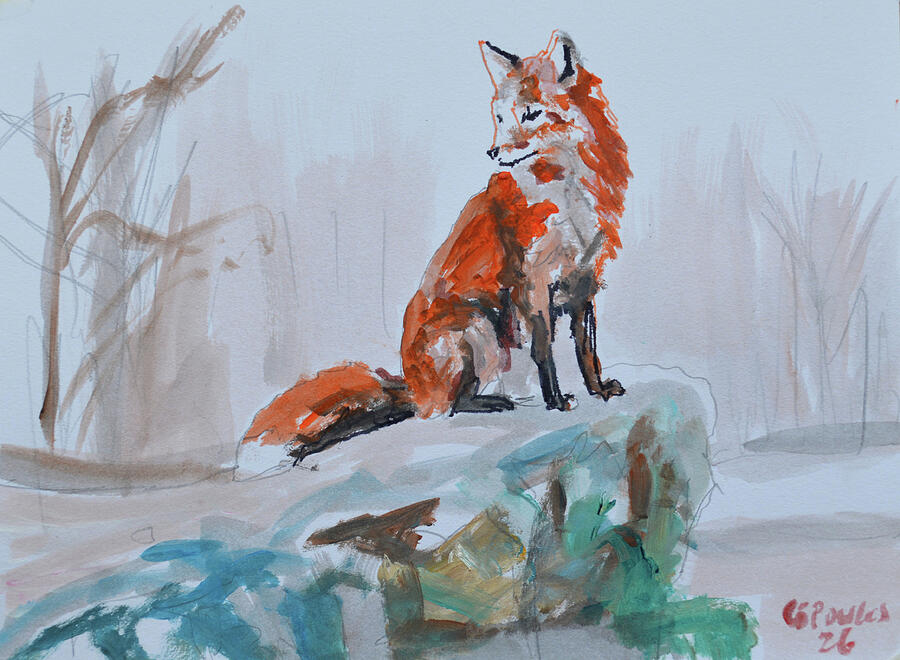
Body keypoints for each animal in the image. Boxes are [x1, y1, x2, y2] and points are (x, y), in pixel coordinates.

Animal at [242, 31, 631, 463]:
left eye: (531, 115)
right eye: (500, 118)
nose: (492, 153)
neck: (567, 195)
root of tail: (412, 385)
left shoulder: (585, 279)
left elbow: (586, 348)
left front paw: (598, 390)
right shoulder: (533, 284)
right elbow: (545, 351)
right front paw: (557, 401)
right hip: (479, 327)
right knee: (444, 408)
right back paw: (490, 402)